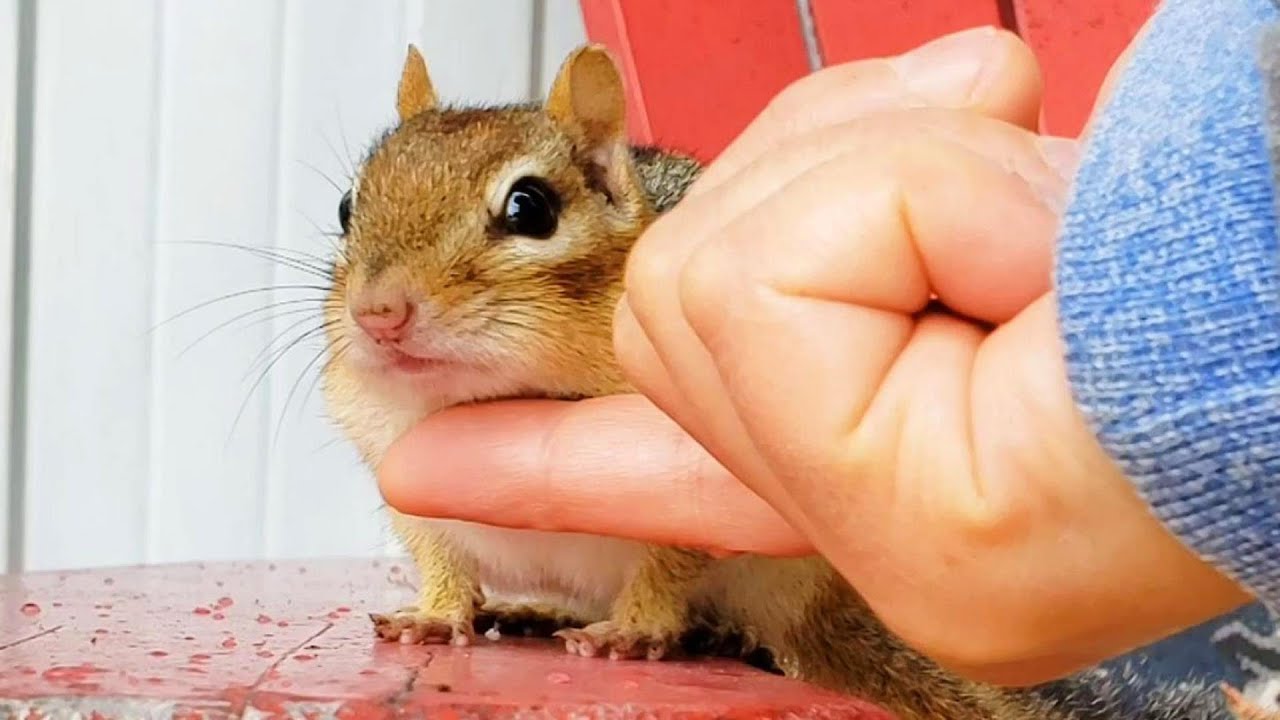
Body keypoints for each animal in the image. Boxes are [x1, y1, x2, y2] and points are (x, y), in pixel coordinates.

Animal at [318, 42, 1238, 720]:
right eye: (346, 207)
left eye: (529, 209)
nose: (379, 312)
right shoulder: (406, 483)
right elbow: (443, 563)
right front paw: (437, 613)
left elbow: (668, 568)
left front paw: (637, 632)